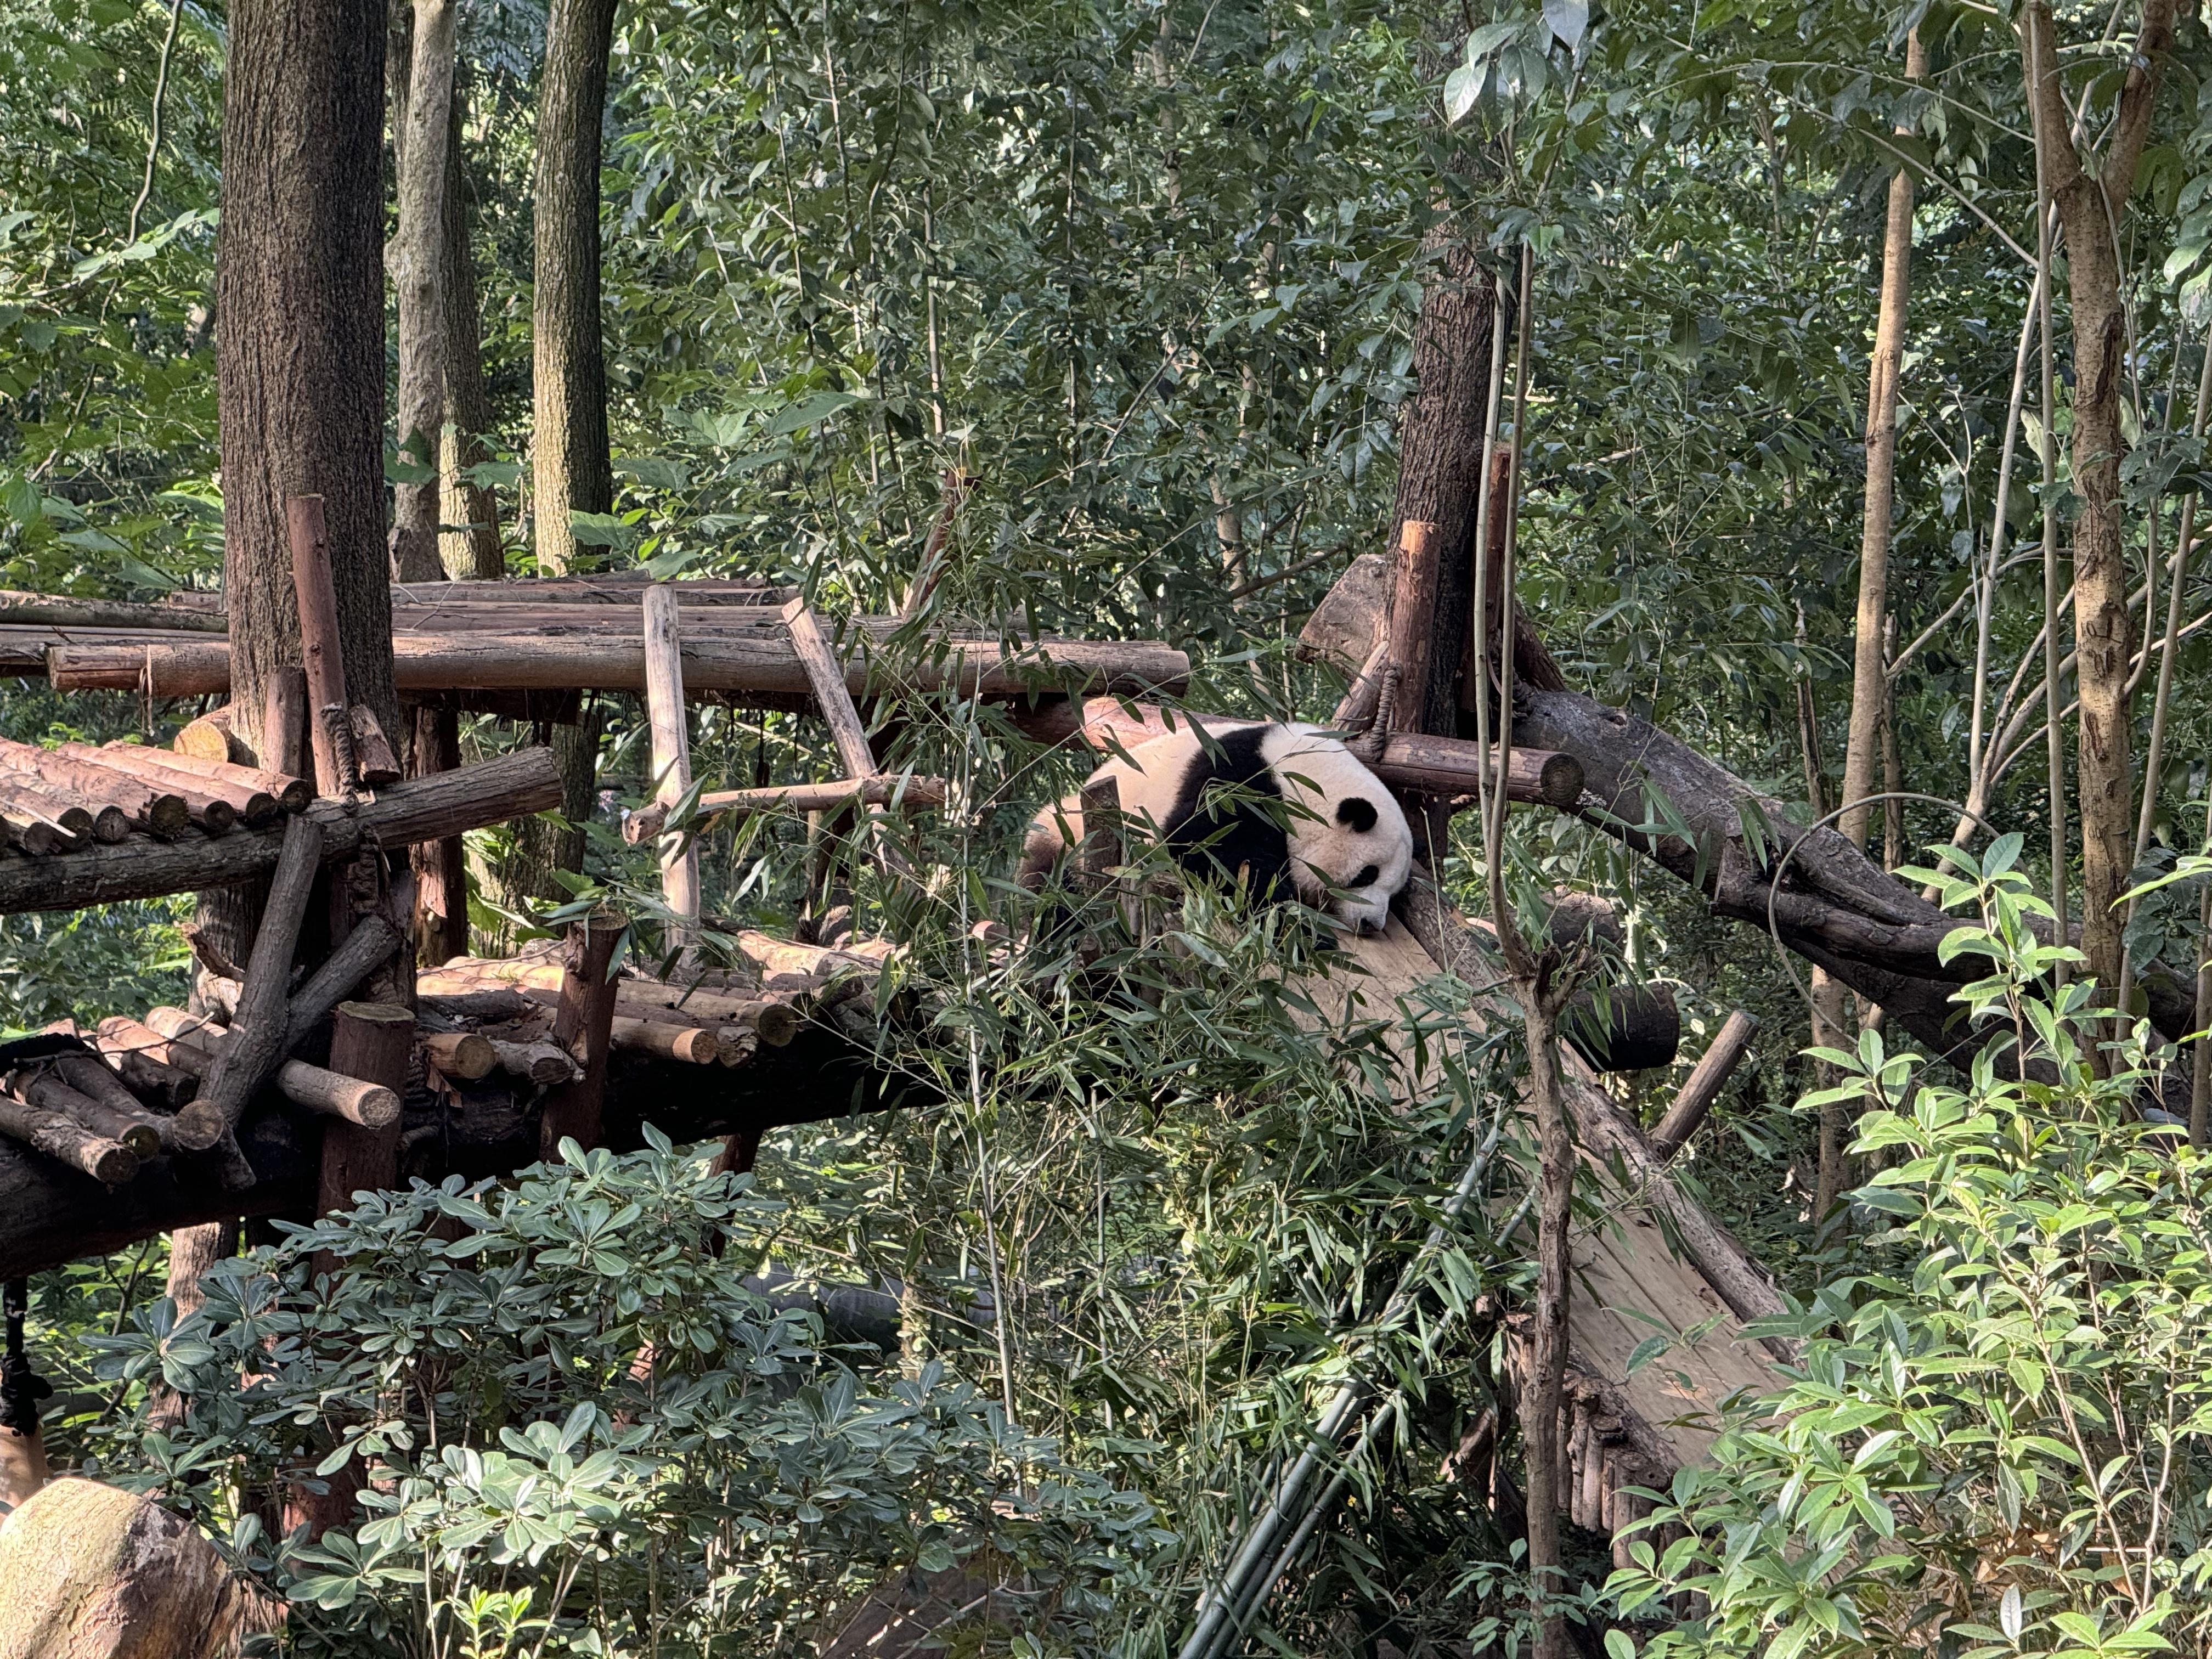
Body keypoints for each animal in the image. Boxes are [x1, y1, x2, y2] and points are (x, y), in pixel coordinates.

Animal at [1017, 725, 1415, 942]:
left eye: (1395, 893)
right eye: (1366, 875)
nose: (1371, 924)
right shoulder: (1237, 779)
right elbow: (1211, 852)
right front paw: (1300, 929)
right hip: (1069, 834)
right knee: (1048, 885)